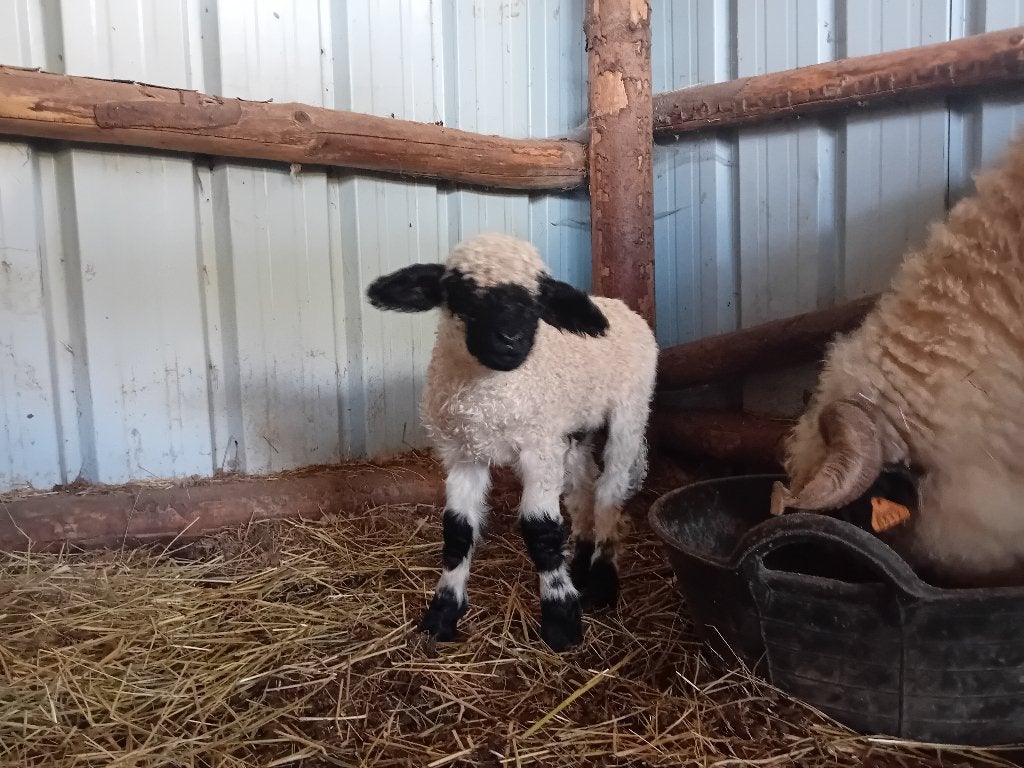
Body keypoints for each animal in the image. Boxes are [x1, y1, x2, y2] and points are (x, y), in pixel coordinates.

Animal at [366, 233, 658, 649]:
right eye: (462, 293)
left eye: (537, 302)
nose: (510, 340)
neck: (492, 395)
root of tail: (617, 304)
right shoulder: (463, 453)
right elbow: (457, 531)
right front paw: (442, 614)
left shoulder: (538, 447)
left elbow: (540, 531)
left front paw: (561, 621)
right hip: (573, 429)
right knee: (583, 490)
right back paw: (580, 566)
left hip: (630, 410)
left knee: (609, 490)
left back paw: (602, 581)